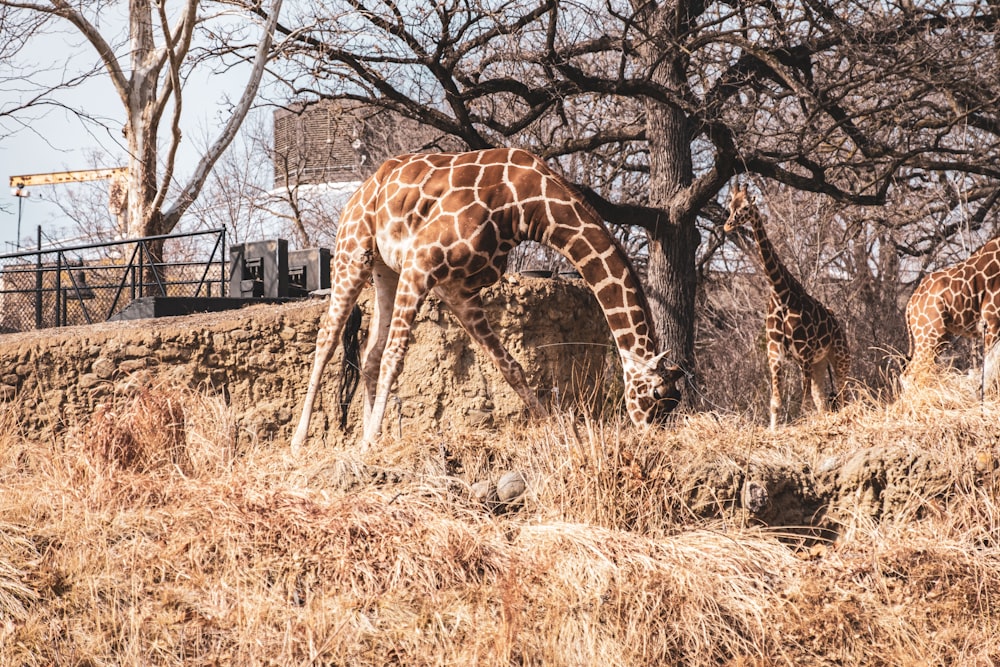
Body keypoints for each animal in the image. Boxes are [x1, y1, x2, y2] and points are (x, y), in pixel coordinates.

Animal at [286, 150, 684, 454]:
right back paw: (300, 441)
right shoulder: (421, 264)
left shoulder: (459, 290)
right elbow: (395, 358)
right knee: (328, 339)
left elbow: (511, 367)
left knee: (369, 355)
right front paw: (368, 444)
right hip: (353, 252)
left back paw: (371, 435)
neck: (527, 206)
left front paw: (555, 430)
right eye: (657, 395)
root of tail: (363, 189)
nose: (655, 438)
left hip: (385, 268)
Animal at [724, 185, 856, 430]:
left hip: (840, 356)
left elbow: (804, 404)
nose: (727, 225)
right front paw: (773, 430)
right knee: (822, 398)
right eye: (730, 206)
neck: (781, 294)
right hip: (819, 363)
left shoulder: (804, 353)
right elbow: (776, 401)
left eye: (745, 207)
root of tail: (837, 322)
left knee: (843, 394)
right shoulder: (774, 351)